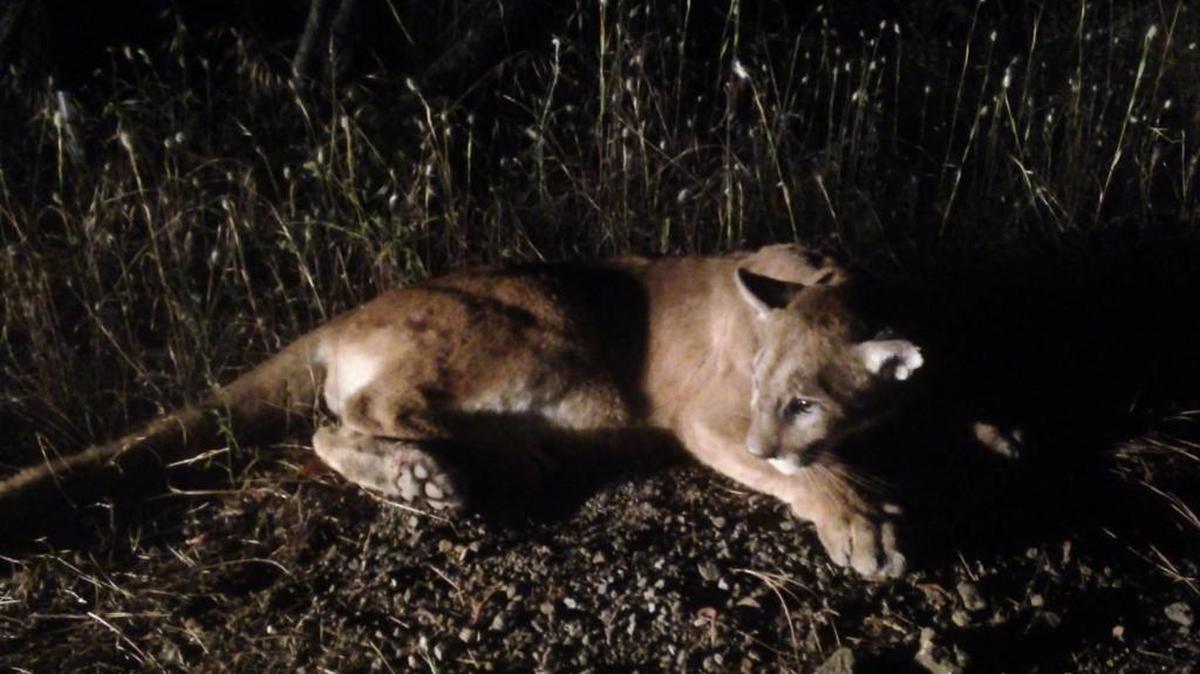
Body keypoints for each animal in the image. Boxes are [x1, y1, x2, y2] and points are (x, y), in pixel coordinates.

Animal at [0, 244, 922, 577]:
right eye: (767, 389)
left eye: (804, 398)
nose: (768, 438)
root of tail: (340, 316)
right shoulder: (709, 414)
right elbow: (807, 471)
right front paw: (859, 520)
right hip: (539, 329)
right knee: (351, 409)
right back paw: (449, 470)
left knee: (335, 422)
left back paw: (447, 472)